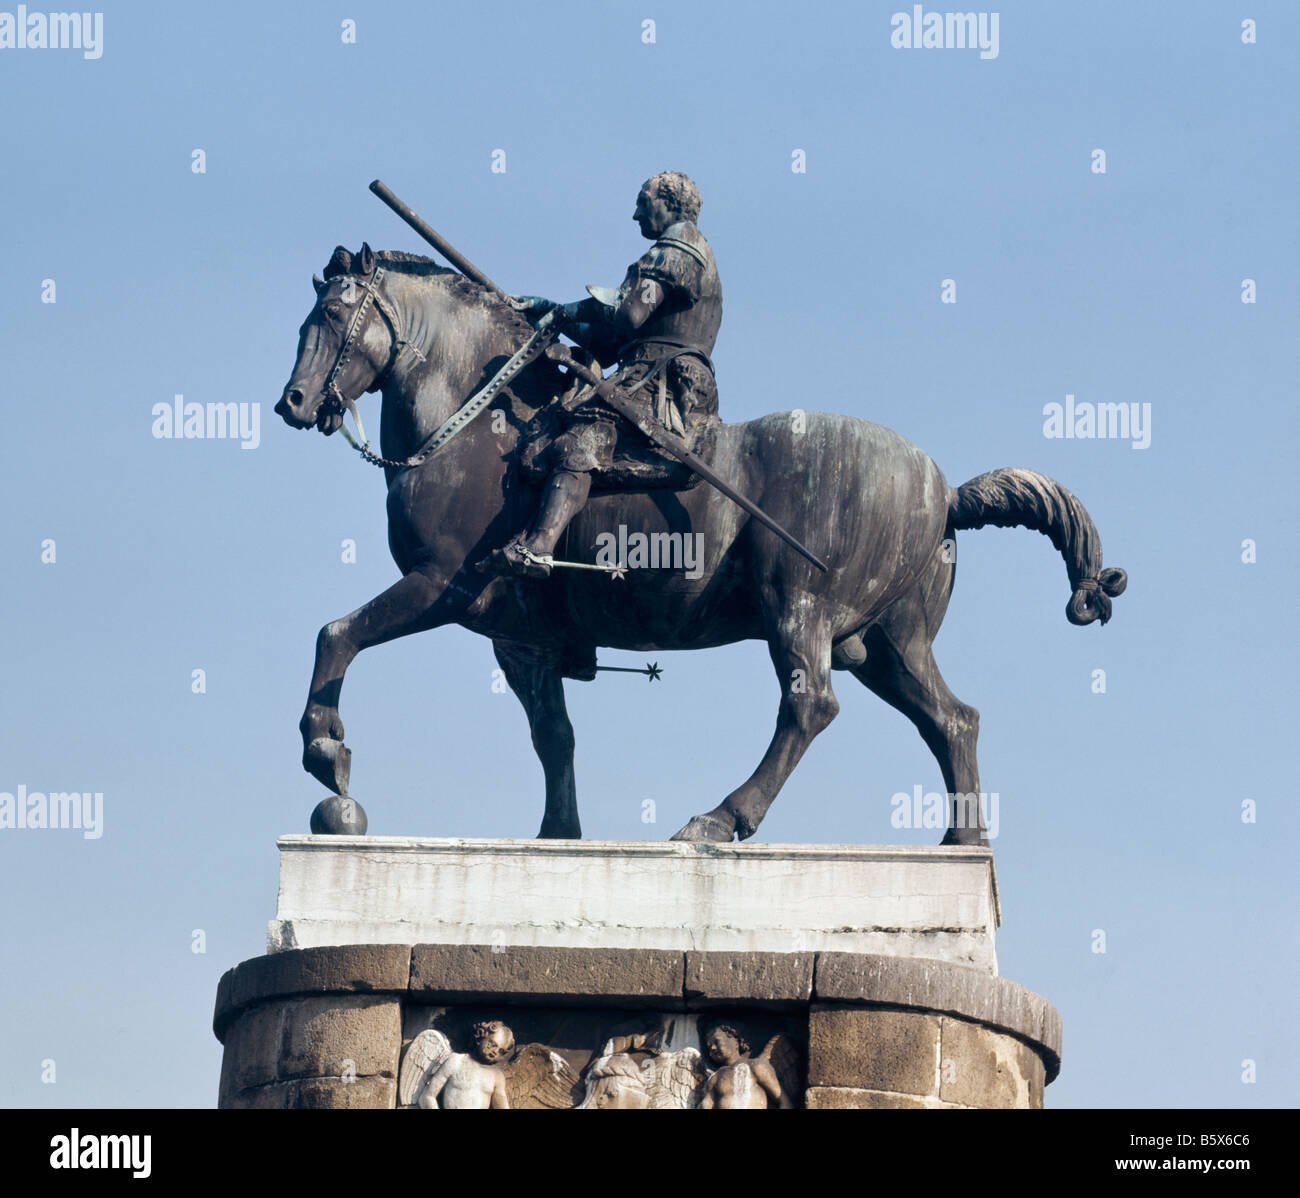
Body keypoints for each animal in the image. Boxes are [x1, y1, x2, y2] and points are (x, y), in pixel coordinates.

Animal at [274, 242, 1128, 841]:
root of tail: (942, 493)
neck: (481, 427)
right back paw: (961, 843)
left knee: (810, 705)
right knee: (952, 720)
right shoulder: (521, 639)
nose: (293, 403)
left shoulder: (441, 583)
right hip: (890, 642)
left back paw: (721, 820)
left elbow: (336, 634)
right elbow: (555, 736)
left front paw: (326, 752)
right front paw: (559, 836)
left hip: (799, 606)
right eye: (306, 320)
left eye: (332, 320)